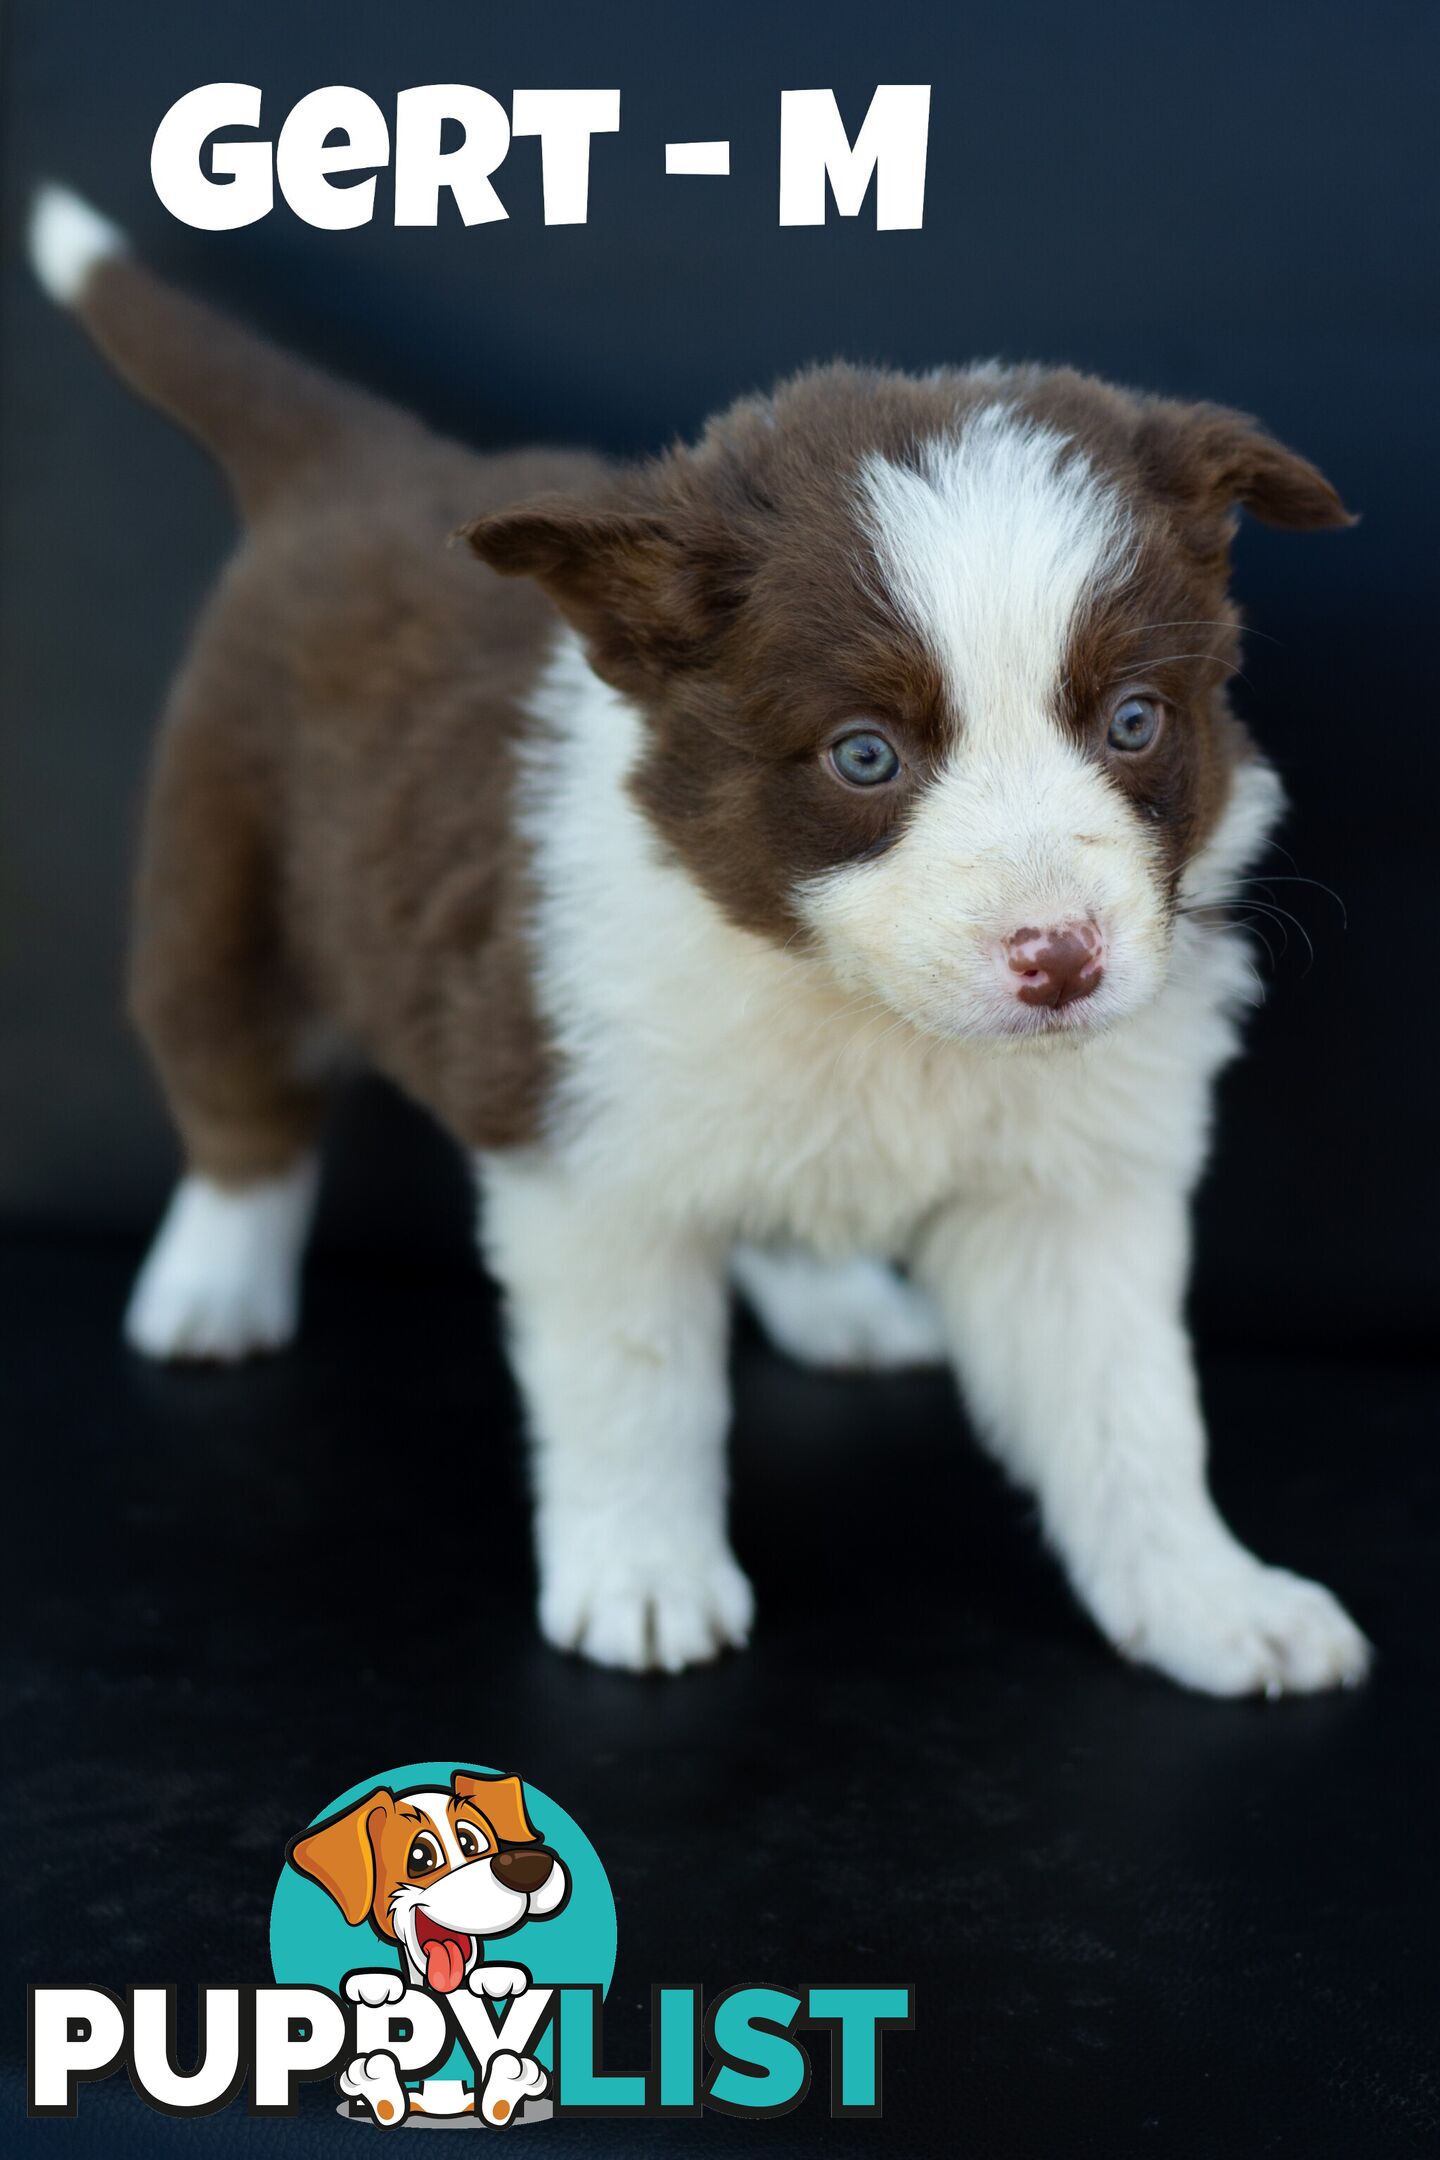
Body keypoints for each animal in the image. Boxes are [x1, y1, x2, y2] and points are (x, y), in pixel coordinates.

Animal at [28, 185, 1373, 1693]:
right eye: (864, 754)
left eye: (1136, 720)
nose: (1063, 961)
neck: (859, 1007)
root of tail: (361, 466)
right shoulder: (588, 1155)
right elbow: (637, 1383)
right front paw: (645, 1580)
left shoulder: (1073, 1189)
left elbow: (1130, 1416)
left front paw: (1215, 1602)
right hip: (223, 879)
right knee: (235, 1089)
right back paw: (213, 1288)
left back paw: (838, 1303)